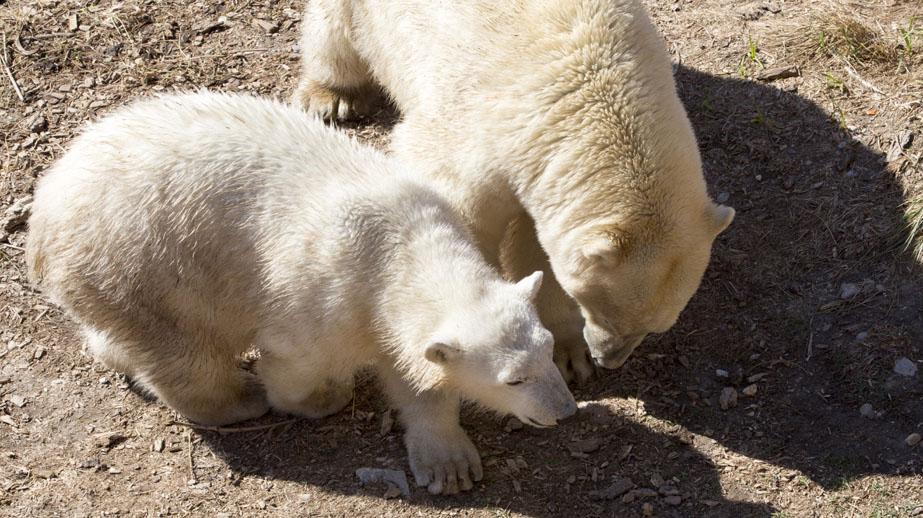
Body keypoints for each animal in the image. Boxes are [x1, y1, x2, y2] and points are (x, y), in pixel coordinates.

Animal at [296, 0, 736, 382]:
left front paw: (570, 354)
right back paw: (333, 96)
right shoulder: (478, 128)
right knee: (334, 34)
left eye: (658, 325)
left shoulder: (543, 168)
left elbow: (540, 248)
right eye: (605, 311)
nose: (608, 359)